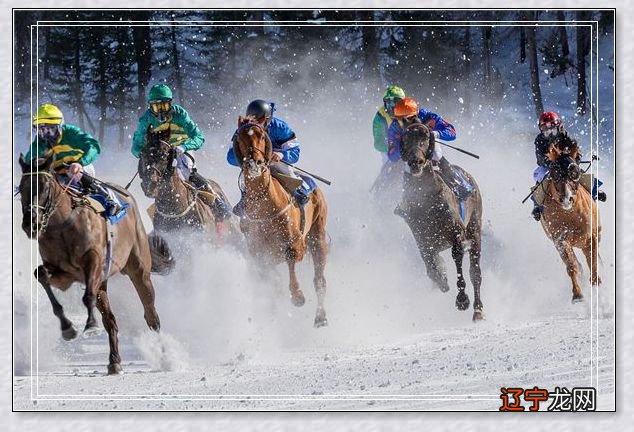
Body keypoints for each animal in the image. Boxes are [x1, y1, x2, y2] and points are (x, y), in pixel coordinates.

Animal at [19, 153, 173, 374]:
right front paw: (68, 328)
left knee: (151, 315)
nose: (30, 223)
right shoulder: (64, 274)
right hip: (104, 281)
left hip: (139, 270)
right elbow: (41, 274)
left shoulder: (93, 261)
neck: (63, 225)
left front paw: (90, 325)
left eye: (45, 186)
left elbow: (88, 295)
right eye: (21, 187)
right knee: (110, 320)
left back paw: (165, 356)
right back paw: (114, 361)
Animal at [233, 115, 330, 328]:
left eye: (261, 135)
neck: (265, 205)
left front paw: (298, 296)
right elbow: (270, 284)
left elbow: (291, 257)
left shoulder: (297, 243)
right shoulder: (259, 255)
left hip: (317, 235)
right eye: (240, 137)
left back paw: (321, 317)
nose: (254, 163)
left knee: (319, 279)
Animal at [398, 120, 482, 322]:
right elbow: (430, 267)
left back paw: (478, 310)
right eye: (405, 138)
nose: (416, 162)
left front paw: (462, 300)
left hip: (475, 229)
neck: (427, 202)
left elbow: (458, 260)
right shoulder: (422, 239)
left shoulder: (457, 235)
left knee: (475, 272)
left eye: (426, 137)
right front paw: (442, 280)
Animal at [536, 138, 600, 300]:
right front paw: (577, 294)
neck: (570, 215)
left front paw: (596, 284)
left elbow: (593, 261)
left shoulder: (591, 236)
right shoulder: (560, 240)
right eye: (555, 173)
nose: (566, 199)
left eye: (574, 171)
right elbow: (571, 266)